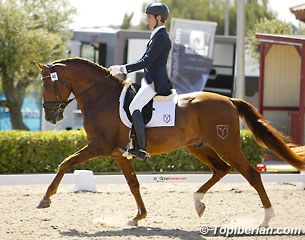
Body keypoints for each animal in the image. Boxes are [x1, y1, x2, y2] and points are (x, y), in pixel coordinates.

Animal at [35, 58, 304, 227]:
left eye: (47, 84)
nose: (50, 117)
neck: (101, 97)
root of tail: (229, 100)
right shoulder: (120, 154)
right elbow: (133, 184)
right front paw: (138, 217)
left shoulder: (99, 146)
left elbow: (65, 162)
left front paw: (45, 199)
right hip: (199, 146)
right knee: (221, 169)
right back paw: (198, 203)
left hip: (226, 145)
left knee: (251, 174)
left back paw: (266, 218)